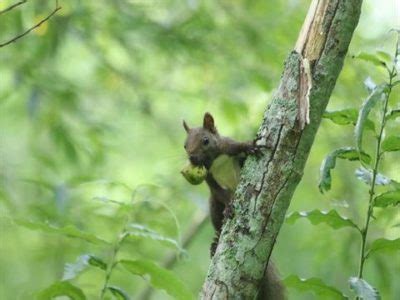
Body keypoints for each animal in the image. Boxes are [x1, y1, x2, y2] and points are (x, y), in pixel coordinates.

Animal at [183, 112, 286, 300]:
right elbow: (220, 193)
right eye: (185, 145)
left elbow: (239, 147)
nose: (192, 158)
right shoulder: (210, 179)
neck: (214, 160)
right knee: (218, 221)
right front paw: (229, 207)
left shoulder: (228, 146)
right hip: (213, 206)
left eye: (205, 140)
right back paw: (216, 242)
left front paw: (251, 146)